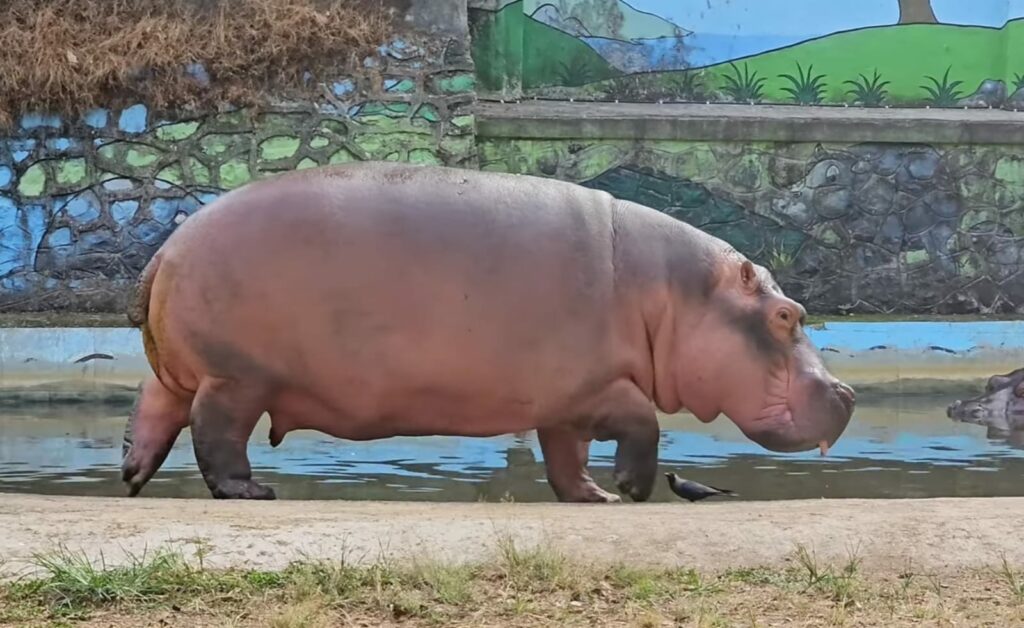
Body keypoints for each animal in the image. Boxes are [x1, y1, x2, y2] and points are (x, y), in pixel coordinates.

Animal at [119, 160, 856, 499]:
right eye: (786, 316)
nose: (847, 393)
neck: (676, 298)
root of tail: (168, 247)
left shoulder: (564, 401)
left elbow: (565, 458)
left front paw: (594, 497)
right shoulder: (600, 387)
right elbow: (644, 423)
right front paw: (630, 489)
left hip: (189, 371)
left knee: (157, 405)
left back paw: (131, 474)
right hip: (236, 376)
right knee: (216, 435)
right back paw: (250, 490)